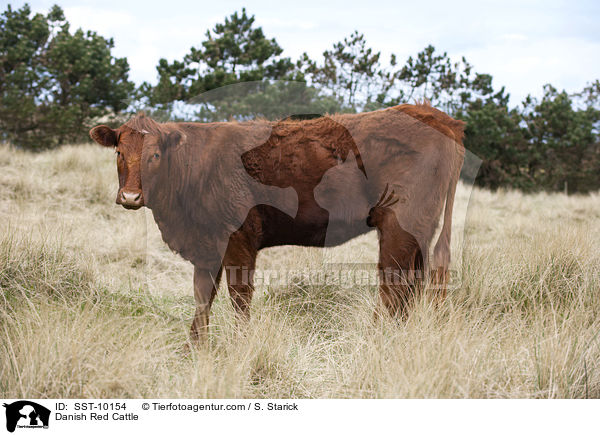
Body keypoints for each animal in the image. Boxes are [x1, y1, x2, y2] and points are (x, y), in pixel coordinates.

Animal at [90, 102, 464, 344]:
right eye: (119, 153)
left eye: (155, 155)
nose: (130, 196)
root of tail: (436, 117)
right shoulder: (207, 246)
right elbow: (202, 295)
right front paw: (194, 348)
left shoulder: (238, 239)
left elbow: (239, 296)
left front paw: (240, 345)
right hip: (417, 235)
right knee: (410, 288)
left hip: (399, 227)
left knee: (394, 286)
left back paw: (375, 341)